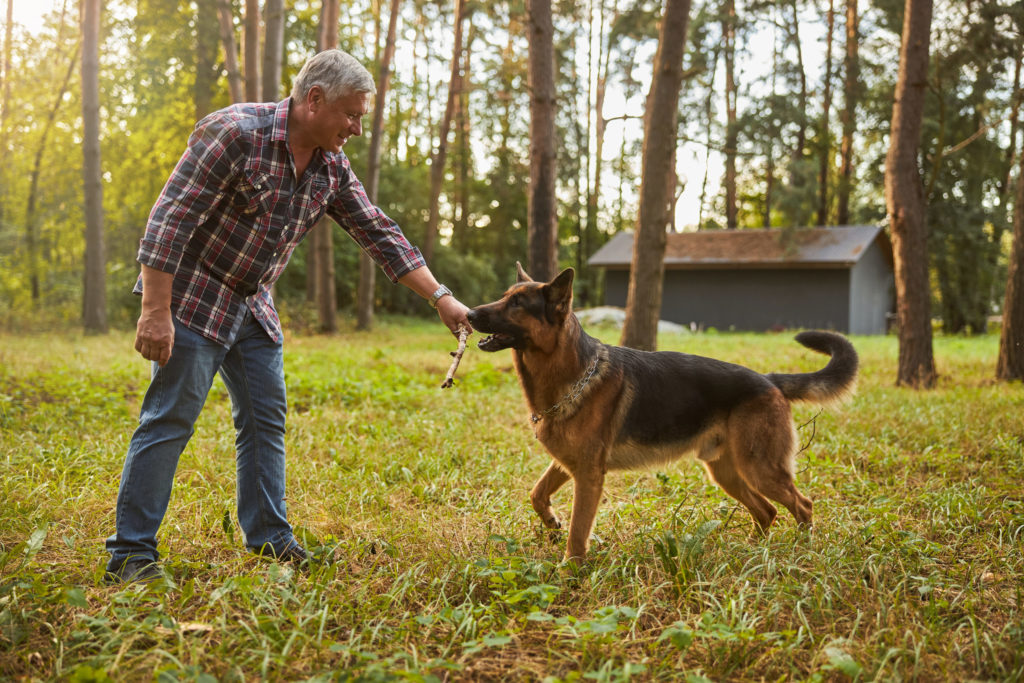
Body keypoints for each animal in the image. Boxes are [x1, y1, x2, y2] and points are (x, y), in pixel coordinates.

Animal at [468, 264, 860, 565]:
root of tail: (768, 380)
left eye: (517, 303)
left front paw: (570, 571)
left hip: (760, 470)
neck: (573, 373)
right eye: (505, 296)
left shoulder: (589, 475)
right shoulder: (569, 463)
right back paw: (751, 552)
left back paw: (803, 552)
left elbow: (578, 532)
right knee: (767, 511)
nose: (469, 314)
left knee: (803, 505)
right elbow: (536, 494)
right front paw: (551, 523)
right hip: (727, 473)